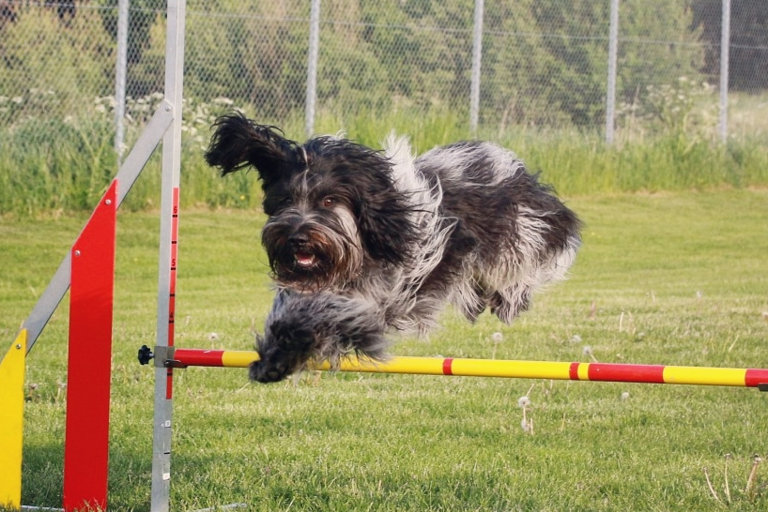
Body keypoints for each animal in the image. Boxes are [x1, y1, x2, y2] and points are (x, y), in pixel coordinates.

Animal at [207, 115, 580, 380]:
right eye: (284, 200)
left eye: (328, 200)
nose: (297, 237)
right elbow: (291, 310)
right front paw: (274, 359)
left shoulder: (379, 297)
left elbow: (327, 312)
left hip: (524, 235)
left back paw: (508, 299)